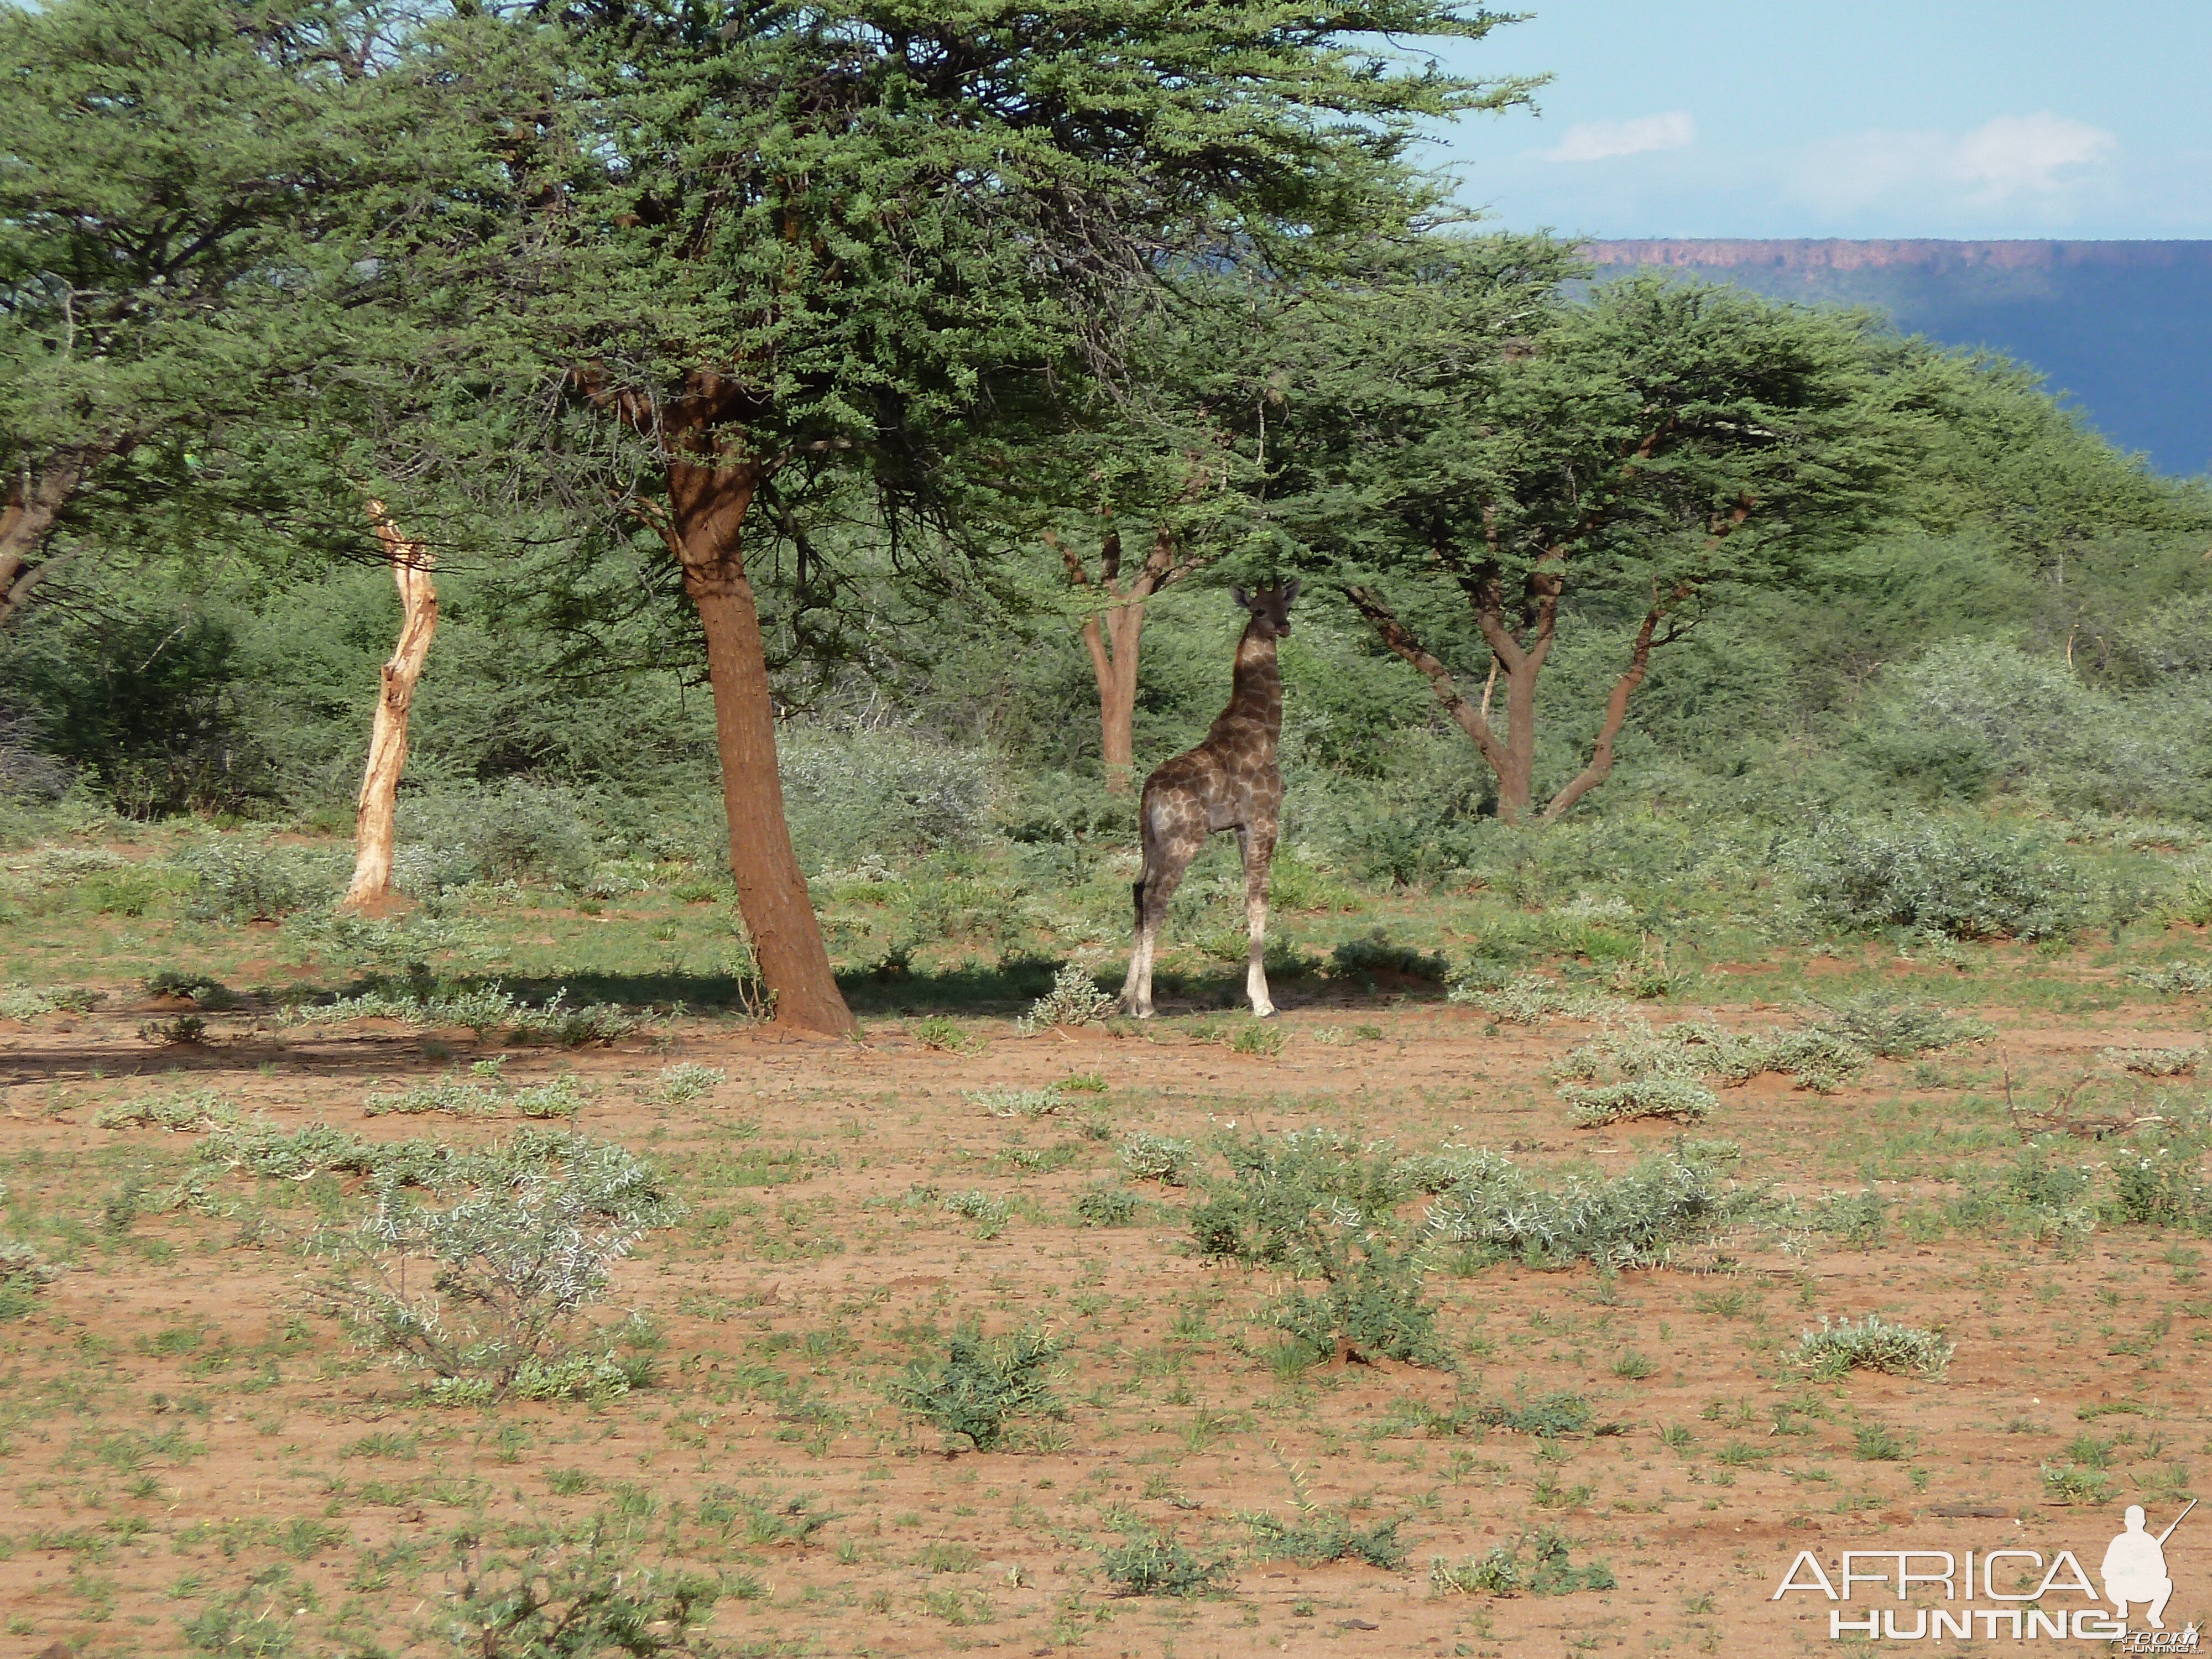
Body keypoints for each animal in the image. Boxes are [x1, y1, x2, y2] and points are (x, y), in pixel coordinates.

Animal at [1124, 580, 1292, 1022]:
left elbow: (1249, 898)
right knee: (1156, 898)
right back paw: (1145, 1004)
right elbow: (1259, 899)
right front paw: (1263, 1002)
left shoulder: (1240, 828)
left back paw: (1124, 998)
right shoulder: (1264, 821)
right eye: (1258, 610)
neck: (1264, 728)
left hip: (1150, 841)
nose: (1283, 627)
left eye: (1287, 604)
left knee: (1138, 890)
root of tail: (1150, 793)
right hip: (1183, 840)